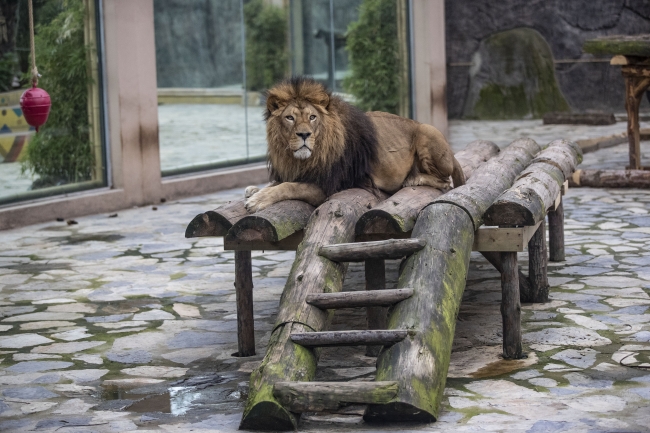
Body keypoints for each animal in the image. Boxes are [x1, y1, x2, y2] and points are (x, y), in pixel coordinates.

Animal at [243, 78, 460, 213]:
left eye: (312, 117)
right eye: (290, 118)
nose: (304, 134)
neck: (302, 160)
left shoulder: (328, 185)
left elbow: (288, 187)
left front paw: (257, 200)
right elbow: (278, 183)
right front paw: (254, 190)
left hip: (427, 131)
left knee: (444, 181)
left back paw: (412, 178)